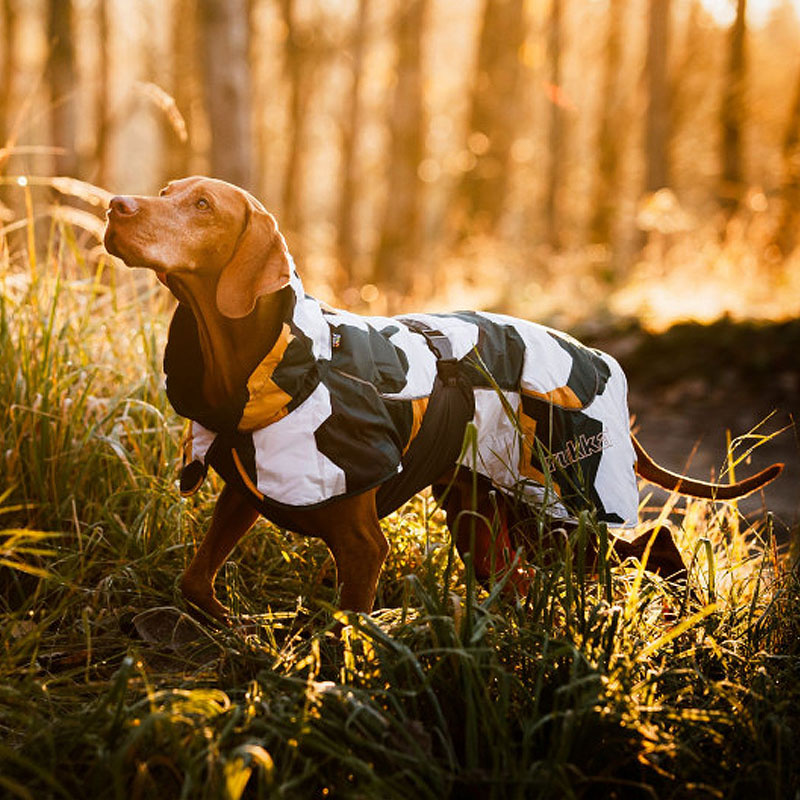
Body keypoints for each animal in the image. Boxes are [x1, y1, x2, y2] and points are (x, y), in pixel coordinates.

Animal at [103, 177, 784, 624]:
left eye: (200, 205)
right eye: (166, 190)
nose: (113, 205)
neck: (263, 367)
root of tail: (598, 359)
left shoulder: (362, 546)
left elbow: (341, 634)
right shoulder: (248, 489)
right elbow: (196, 581)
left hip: (562, 508)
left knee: (654, 540)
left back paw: (693, 615)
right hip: (487, 514)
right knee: (522, 580)